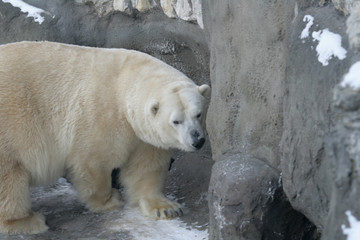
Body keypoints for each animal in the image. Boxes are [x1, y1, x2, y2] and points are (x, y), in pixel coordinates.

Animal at [0, 41, 211, 234]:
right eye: (176, 121)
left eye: (198, 114)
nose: (197, 141)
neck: (124, 81)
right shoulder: (102, 114)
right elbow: (94, 161)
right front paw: (110, 199)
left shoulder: (142, 134)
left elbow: (147, 166)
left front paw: (166, 208)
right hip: (12, 125)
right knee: (9, 177)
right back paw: (27, 221)